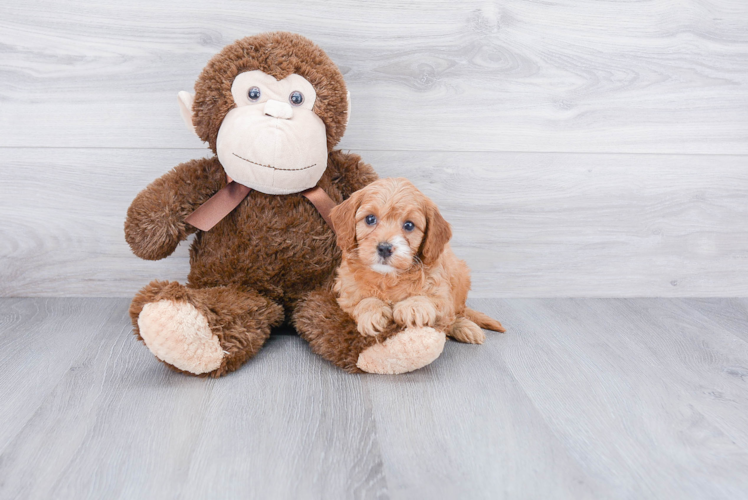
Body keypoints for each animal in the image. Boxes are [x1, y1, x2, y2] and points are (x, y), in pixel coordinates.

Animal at [330, 176, 506, 344]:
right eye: (370, 219)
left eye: (409, 225)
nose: (385, 248)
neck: (388, 277)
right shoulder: (346, 292)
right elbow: (361, 300)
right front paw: (373, 311)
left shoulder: (441, 291)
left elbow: (433, 300)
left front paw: (413, 306)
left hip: (460, 275)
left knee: (455, 314)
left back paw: (466, 327)